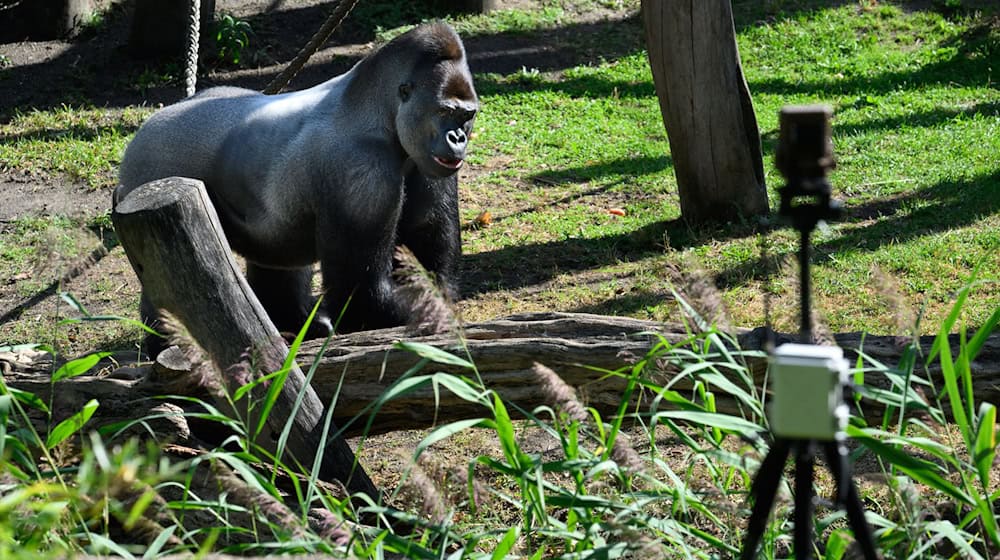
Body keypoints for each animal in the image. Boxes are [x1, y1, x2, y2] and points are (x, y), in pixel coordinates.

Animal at [117, 24, 476, 344]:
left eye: (466, 116)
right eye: (444, 112)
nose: (457, 139)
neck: (379, 110)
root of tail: (147, 126)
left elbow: (428, 255)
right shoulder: (361, 173)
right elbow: (363, 296)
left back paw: (290, 322)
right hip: (151, 173)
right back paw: (167, 341)